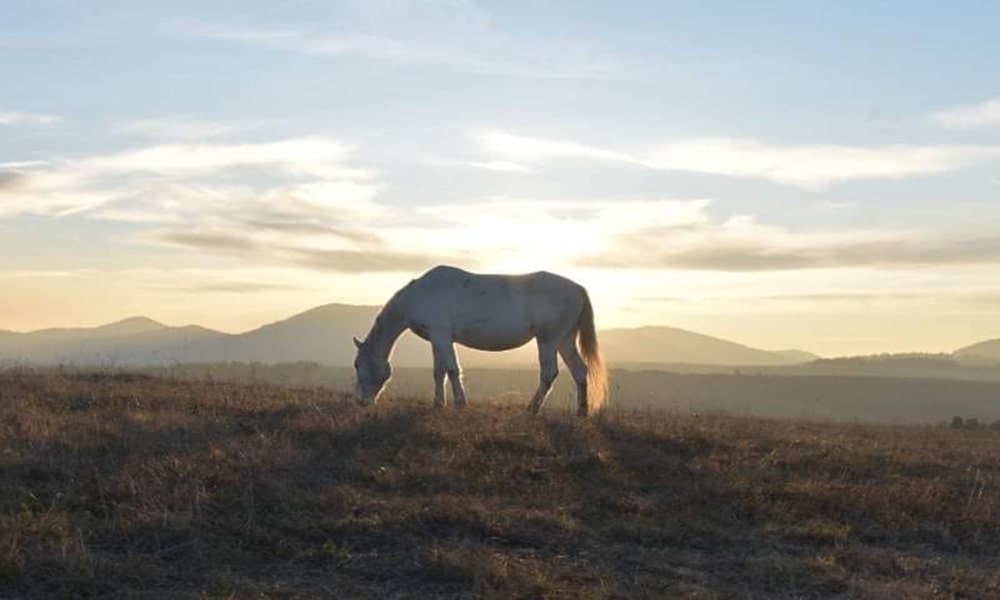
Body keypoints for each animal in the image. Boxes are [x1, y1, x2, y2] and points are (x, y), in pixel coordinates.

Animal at [356, 268, 612, 418]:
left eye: (358, 365)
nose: (361, 401)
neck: (418, 296)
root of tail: (579, 289)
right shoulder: (437, 339)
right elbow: (439, 372)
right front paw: (438, 403)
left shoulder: (441, 336)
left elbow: (451, 370)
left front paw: (460, 403)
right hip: (564, 340)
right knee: (580, 371)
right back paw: (582, 411)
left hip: (548, 340)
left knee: (549, 373)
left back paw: (532, 408)